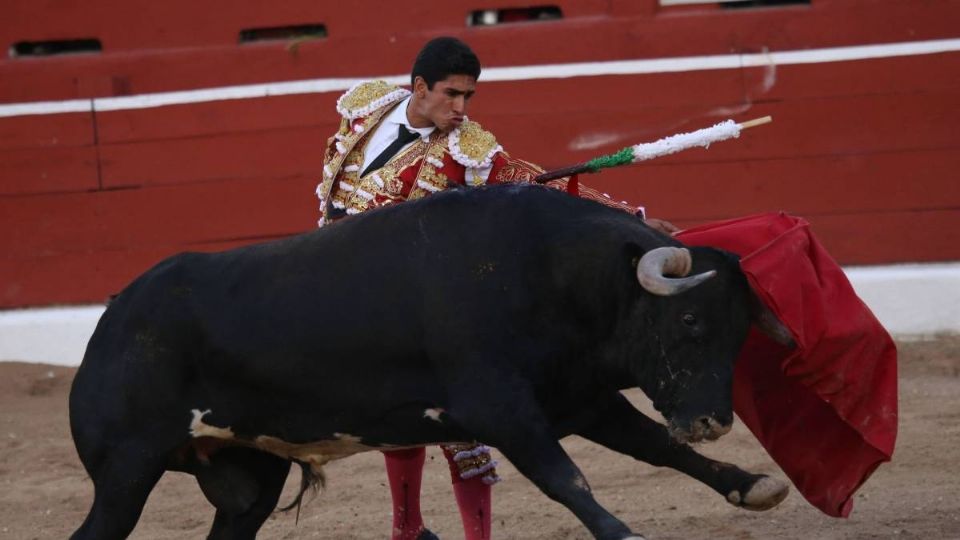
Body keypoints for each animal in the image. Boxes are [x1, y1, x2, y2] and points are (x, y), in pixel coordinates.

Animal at [67, 184, 788, 536]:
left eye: (739, 335)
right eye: (689, 320)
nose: (713, 421)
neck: (548, 271)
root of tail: (114, 317)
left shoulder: (578, 398)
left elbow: (656, 448)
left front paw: (753, 483)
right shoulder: (500, 407)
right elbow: (568, 479)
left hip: (248, 483)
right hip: (126, 471)